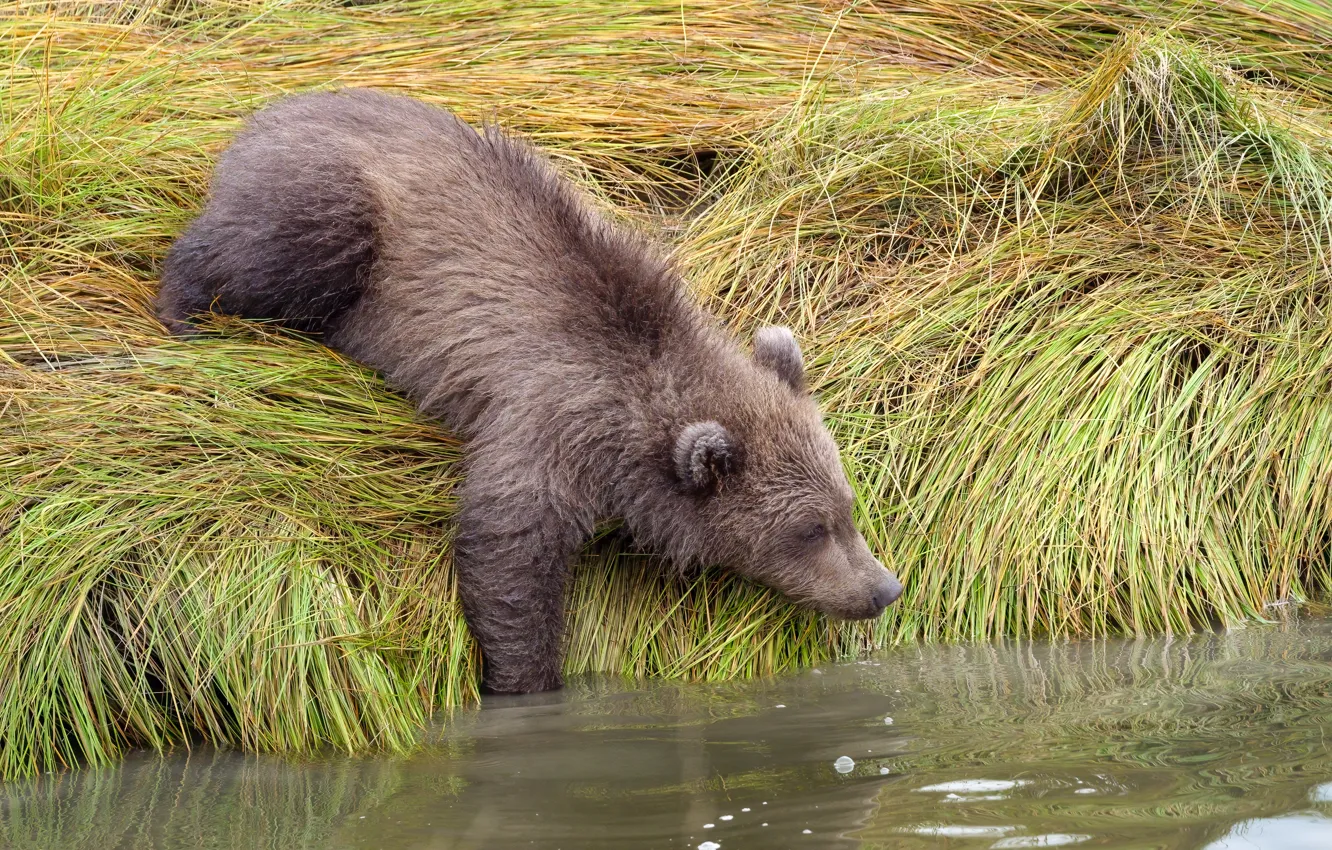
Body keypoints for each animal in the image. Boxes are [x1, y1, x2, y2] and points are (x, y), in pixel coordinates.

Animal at [156, 89, 903, 695]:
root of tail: (268, 114)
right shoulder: (552, 416)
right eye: (808, 530)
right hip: (340, 206)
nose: (884, 589)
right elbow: (510, 543)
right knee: (266, 252)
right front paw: (525, 678)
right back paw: (185, 312)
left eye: (848, 506)